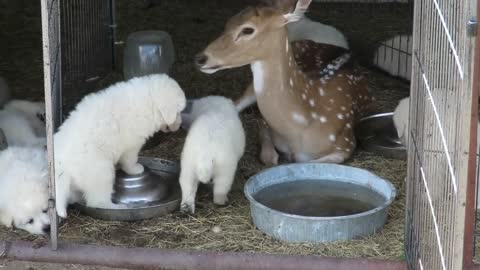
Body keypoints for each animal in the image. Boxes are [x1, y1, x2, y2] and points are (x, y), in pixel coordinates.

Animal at [54, 74, 186, 217]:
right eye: (179, 112)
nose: (180, 126)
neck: (149, 100)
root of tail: (64, 166)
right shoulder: (132, 144)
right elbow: (130, 160)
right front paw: (135, 169)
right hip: (101, 171)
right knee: (97, 201)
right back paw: (115, 207)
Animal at [194, 0, 372, 166]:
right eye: (228, 23)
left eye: (247, 30)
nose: (200, 58)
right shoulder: (265, 123)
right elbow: (269, 157)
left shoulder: (347, 144)